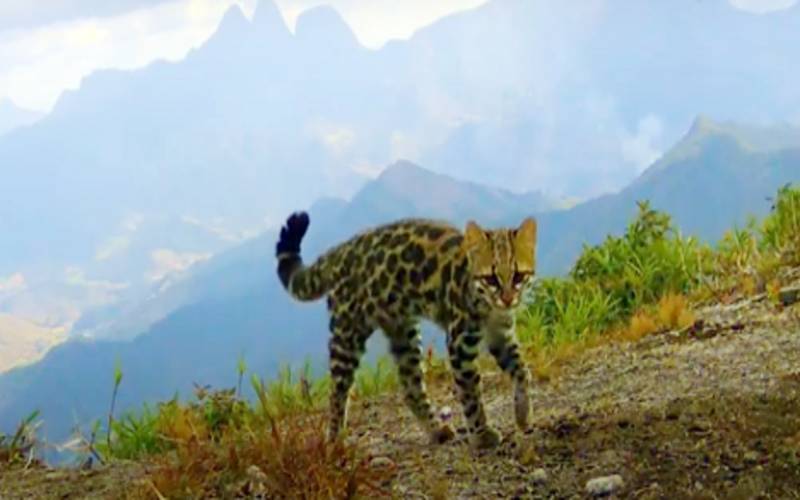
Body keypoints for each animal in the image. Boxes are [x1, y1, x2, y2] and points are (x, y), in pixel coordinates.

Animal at [276, 211, 536, 450]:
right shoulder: (460, 341)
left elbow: (522, 369)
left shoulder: (501, 335)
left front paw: (523, 412)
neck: (490, 308)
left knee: (410, 386)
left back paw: (437, 430)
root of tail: (344, 248)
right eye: (491, 278)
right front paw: (481, 435)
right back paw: (334, 439)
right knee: (337, 391)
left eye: (518, 276)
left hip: (403, 332)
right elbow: (471, 391)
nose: (507, 299)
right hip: (347, 333)